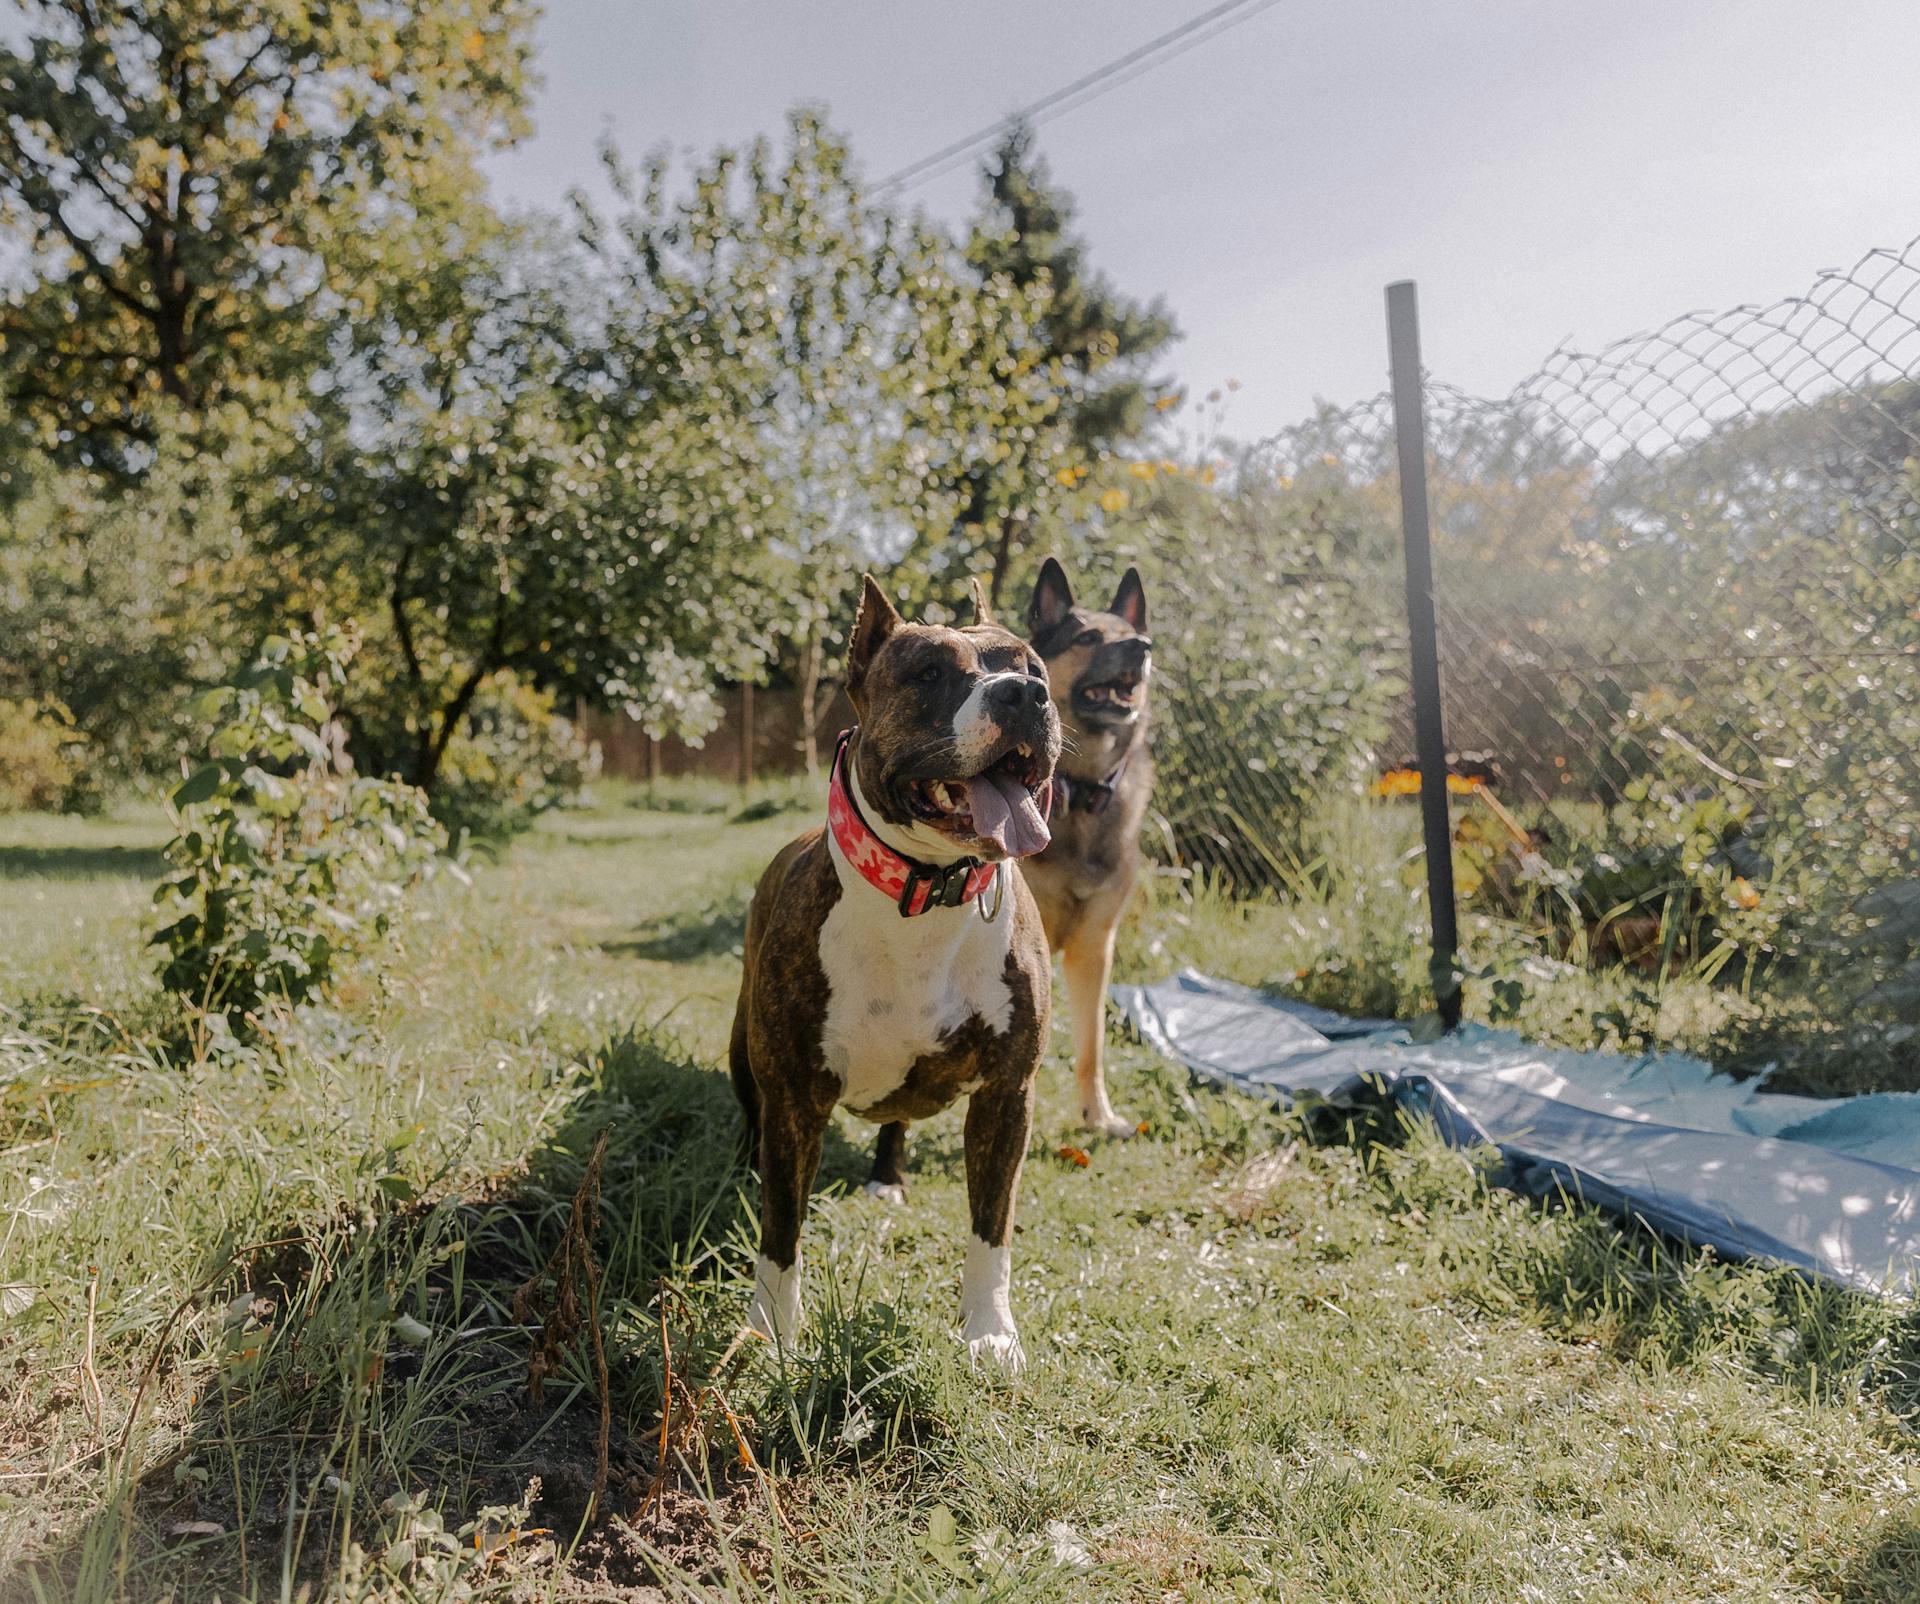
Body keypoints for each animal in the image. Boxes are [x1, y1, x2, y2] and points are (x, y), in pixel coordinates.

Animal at [733, 572, 1067, 1367]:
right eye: (930, 674)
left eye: (1034, 667)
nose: (1024, 696)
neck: (928, 894)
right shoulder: (793, 1099)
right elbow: (781, 1230)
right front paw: (773, 1334)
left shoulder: (1008, 1095)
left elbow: (991, 1229)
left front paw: (989, 1332)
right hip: (743, 1048)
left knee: (896, 1120)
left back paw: (886, 1176)